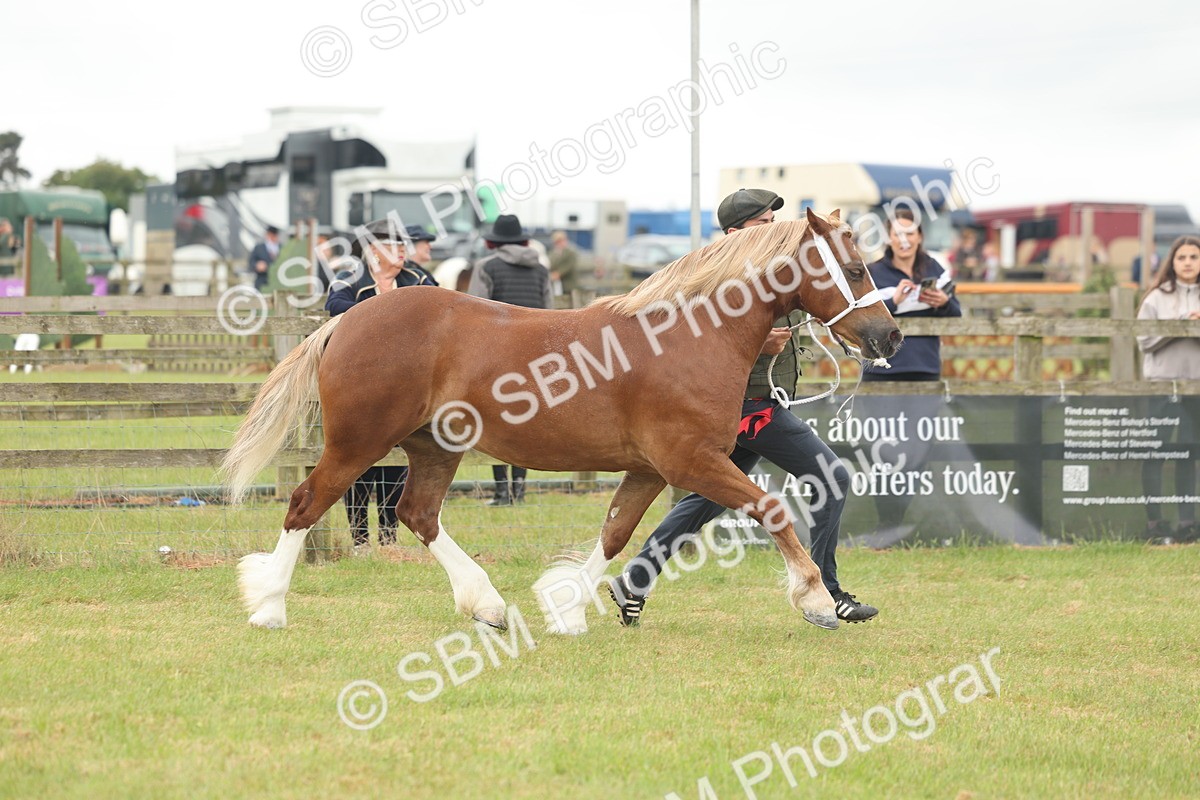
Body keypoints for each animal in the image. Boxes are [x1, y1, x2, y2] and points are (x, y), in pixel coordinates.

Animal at [220, 208, 901, 633]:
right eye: (857, 269)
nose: (890, 335)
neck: (687, 336)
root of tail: (348, 318)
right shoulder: (692, 461)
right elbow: (773, 509)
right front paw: (817, 600)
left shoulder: (650, 471)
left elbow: (616, 534)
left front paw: (568, 609)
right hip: (358, 443)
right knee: (307, 503)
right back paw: (269, 607)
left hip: (434, 447)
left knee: (418, 513)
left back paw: (489, 606)